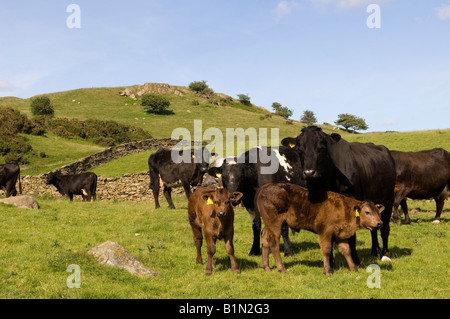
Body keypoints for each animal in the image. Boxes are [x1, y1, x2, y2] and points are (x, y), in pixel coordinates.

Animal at [256, 182, 384, 278]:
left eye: (379, 213)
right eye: (367, 212)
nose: (379, 223)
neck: (344, 208)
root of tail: (265, 186)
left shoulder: (339, 235)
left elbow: (347, 250)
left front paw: (354, 268)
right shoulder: (326, 232)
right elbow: (326, 250)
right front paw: (327, 271)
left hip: (268, 224)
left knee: (265, 239)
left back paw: (266, 267)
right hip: (275, 224)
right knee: (274, 243)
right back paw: (281, 269)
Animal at [284, 126, 396, 264]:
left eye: (322, 148)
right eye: (299, 149)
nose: (309, 173)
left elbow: (352, 234)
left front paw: (355, 259)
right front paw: (330, 262)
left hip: (389, 199)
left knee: (385, 229)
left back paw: (385, 255)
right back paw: (375, 251)